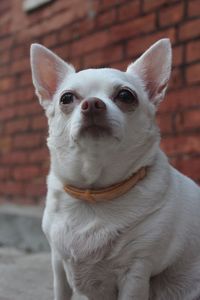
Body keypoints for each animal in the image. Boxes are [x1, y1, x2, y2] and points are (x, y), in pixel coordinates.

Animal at [30, 39, 200, 300]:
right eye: (66, 98)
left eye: (125, 95)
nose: (93, 103)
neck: (95, 194)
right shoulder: (58, 265)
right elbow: (61, 292)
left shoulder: (136, 272)